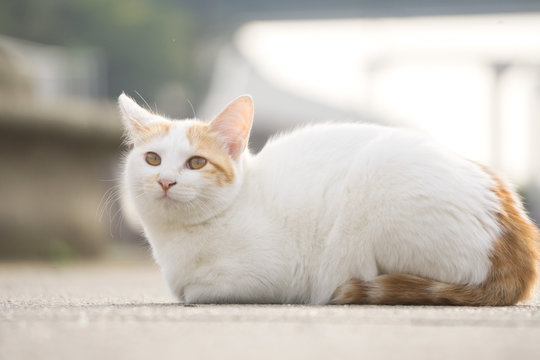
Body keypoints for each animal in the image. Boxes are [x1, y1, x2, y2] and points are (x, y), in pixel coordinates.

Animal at [120, 92, 536, 304]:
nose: (166, 181)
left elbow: (193, 292)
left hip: (377, 176)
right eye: (152, 159)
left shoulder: (273, 276)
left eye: (197, 162)